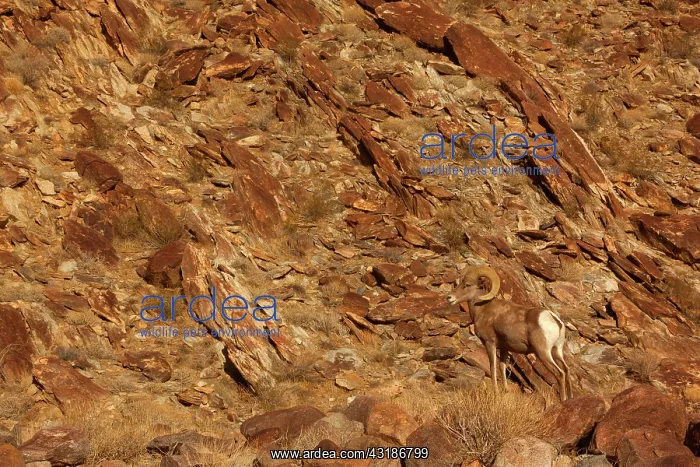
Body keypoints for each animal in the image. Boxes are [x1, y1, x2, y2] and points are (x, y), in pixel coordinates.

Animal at [447, 266, 573, 401]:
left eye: (468, 284)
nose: (449, 298)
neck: (482, 309)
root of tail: (554, 319)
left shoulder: (490, 343)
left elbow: (493, 367)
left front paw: (496, 392)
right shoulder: (504, 348)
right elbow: (502, 367)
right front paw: (505, 391)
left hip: (542, 352)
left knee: (559, 373)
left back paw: (562, 400)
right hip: (556, 351)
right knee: (566, 370)